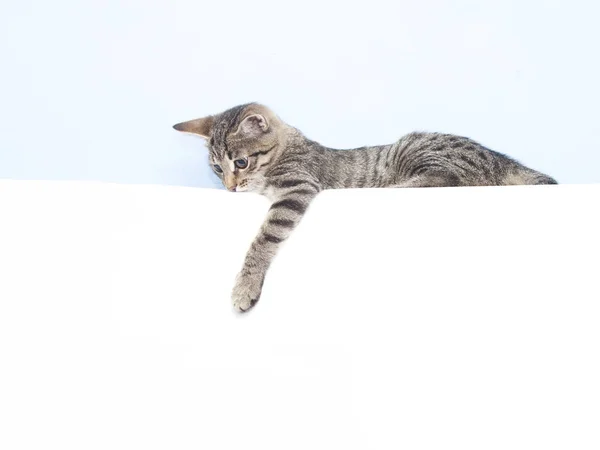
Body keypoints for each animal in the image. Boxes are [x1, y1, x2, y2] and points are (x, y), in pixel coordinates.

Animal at [173, 103, 556, 312]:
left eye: (240, 162)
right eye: (217, 168)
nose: (231, 187)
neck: (288, 150)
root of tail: (503, 161)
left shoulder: (298, 187)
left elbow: (263, 239)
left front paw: (245, 286)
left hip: (417, 149)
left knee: (448, 179)